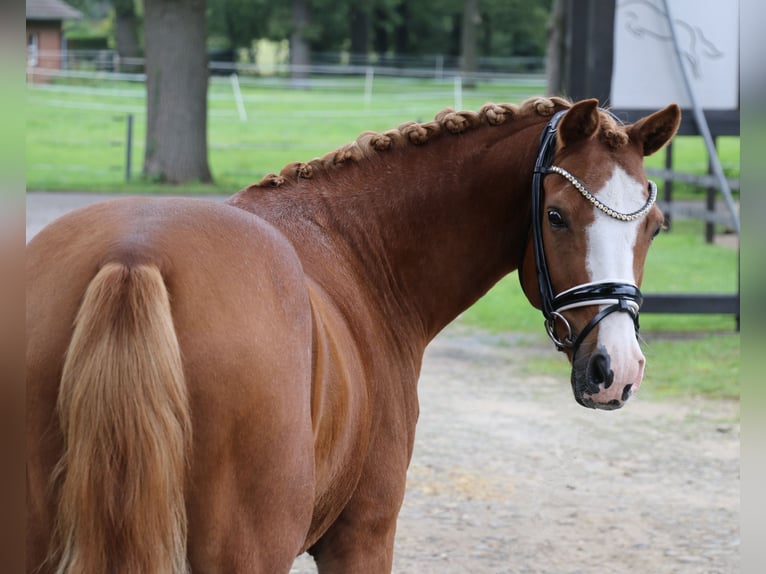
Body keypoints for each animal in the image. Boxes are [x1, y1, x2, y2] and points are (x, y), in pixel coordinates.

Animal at [27, 97, 680, 572]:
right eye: (556, 216)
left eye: (654, 226)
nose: (615, 369)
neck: (356, 247)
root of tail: (134, 257)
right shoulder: (363, 533)